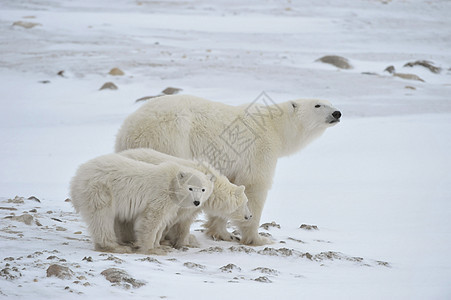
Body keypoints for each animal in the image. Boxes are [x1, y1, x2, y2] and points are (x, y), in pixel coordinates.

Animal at [115, 94, 340, 246]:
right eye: (318, 105)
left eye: (331, 103)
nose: (337, 113)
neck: (275, 126)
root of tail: (131, 129)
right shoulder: (259, 150)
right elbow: (254, 186)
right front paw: (258, 238)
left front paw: (223, 233)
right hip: (172, 138)